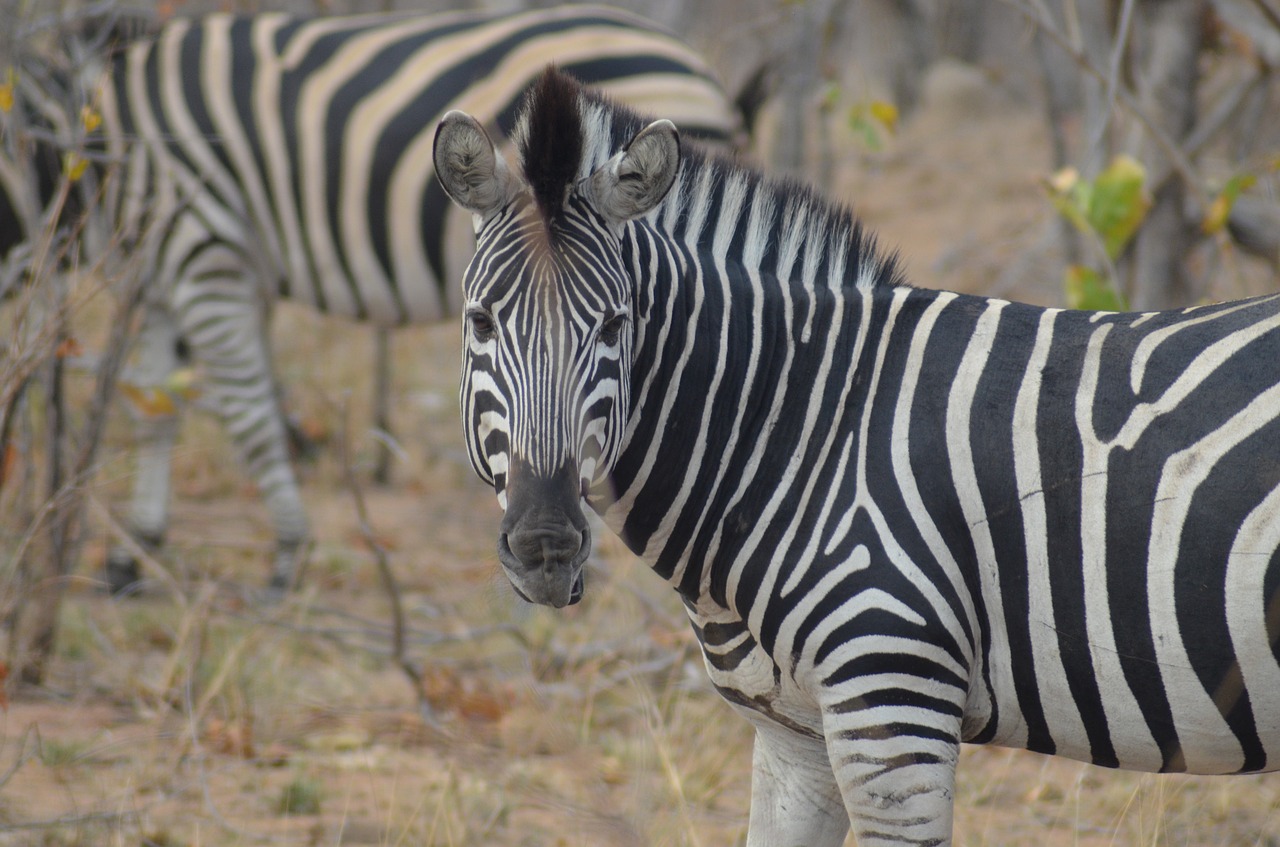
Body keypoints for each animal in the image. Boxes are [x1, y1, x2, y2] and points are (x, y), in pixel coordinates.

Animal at [435, 68, 1280, 847]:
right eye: (480, 322)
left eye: (614, 325)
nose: (546, 544)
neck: (800, 436)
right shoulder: (795, 738)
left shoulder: (894, 709)